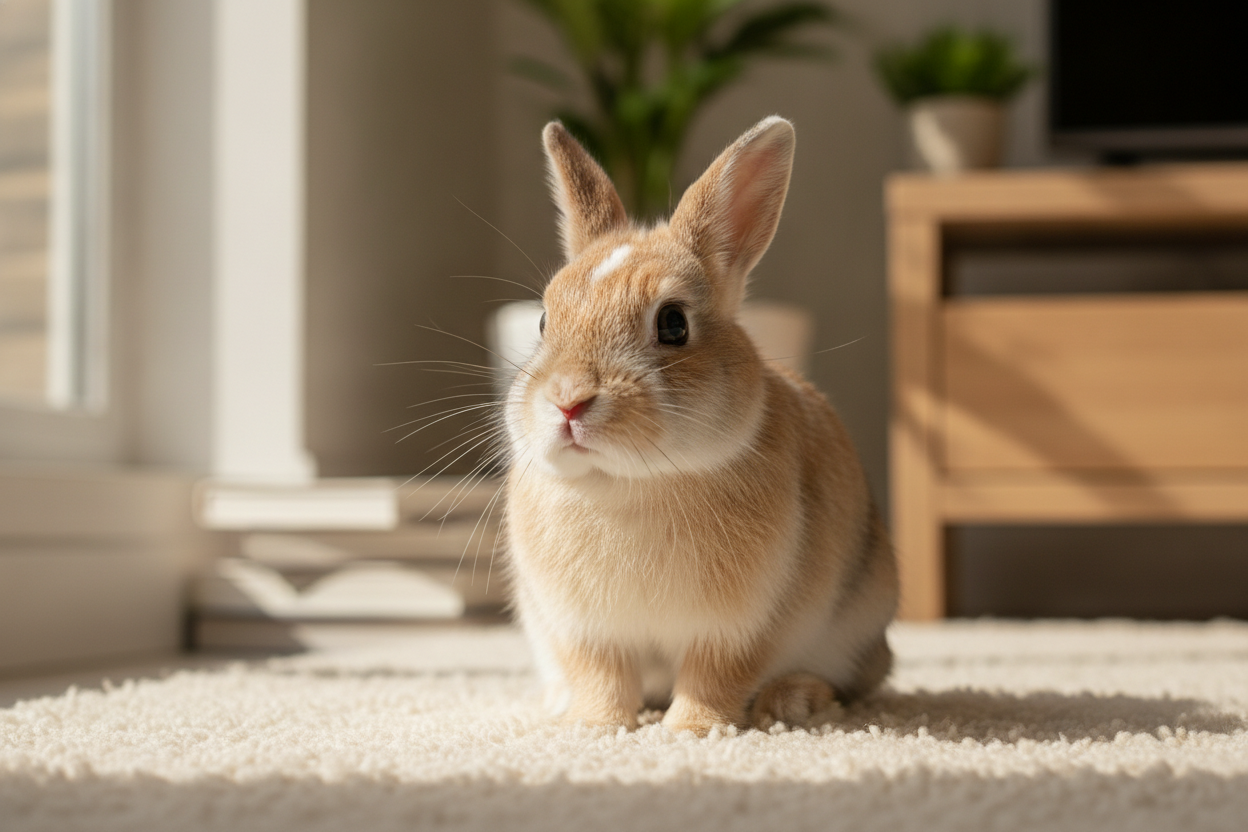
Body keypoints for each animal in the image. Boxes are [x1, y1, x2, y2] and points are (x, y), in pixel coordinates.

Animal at [503, 115, 898, 736]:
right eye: (544, 320)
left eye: (673, 324)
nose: (568, 401)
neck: (628, 485)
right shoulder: (586, 632)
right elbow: (602, 679)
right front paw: (593, 727)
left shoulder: (740, 628)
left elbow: (713, 678)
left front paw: (692, 731)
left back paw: (793, 700)